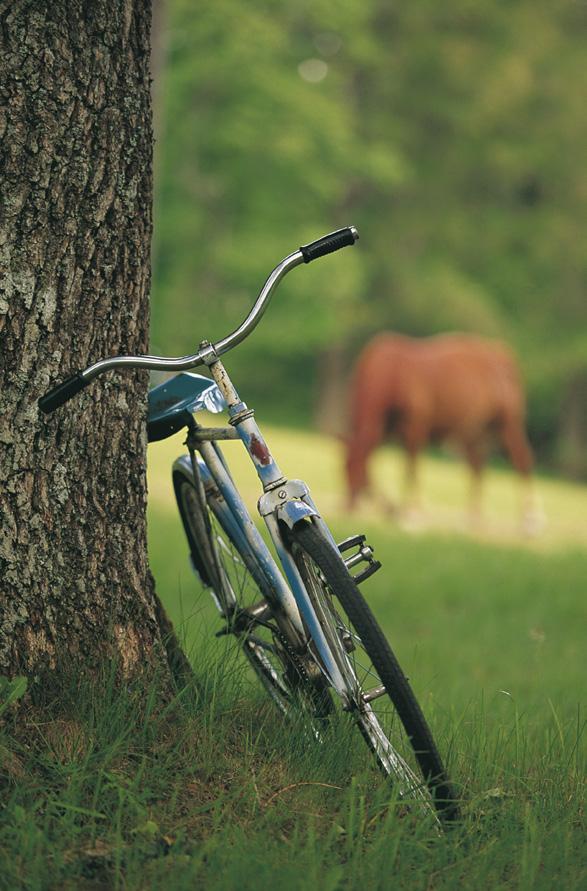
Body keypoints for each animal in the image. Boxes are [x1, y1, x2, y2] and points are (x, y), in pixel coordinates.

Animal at [344, 332, 544, 528]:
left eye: (357, 471)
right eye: (343, 469)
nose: (348, 505)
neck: (392, 374)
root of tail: (502, 353)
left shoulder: (416, 426)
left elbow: (411, 467)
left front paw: (412, 510)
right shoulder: (387, 430)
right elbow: (388, 466)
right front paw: (395, 508)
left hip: (508, 424)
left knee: (521, 459)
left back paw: (529, 517)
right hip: (475, 430)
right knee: (477, 465)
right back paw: (474, 516)